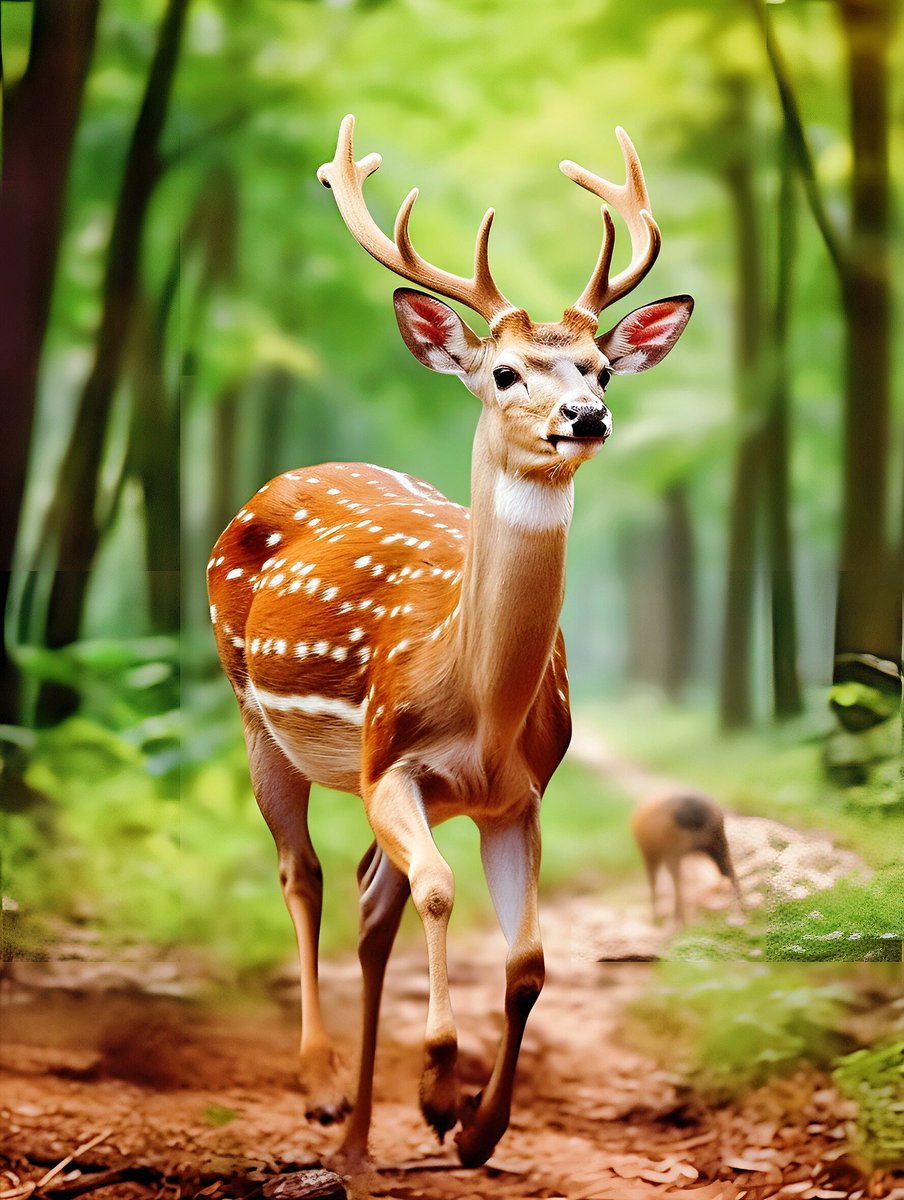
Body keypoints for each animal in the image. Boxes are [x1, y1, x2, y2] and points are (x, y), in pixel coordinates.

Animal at [207, 114, 692, 1171]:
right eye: (505, 372)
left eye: (600, 368)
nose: (586, 417)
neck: (478, 708)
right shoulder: (390, 761)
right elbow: (436, 892)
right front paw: (435, 1083)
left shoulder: (521, 795)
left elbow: (528, 961)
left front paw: (474, 1126)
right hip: (253, 712)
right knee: (304, 873)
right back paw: (319, 1089)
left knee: (366, 898)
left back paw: (358, 1134)